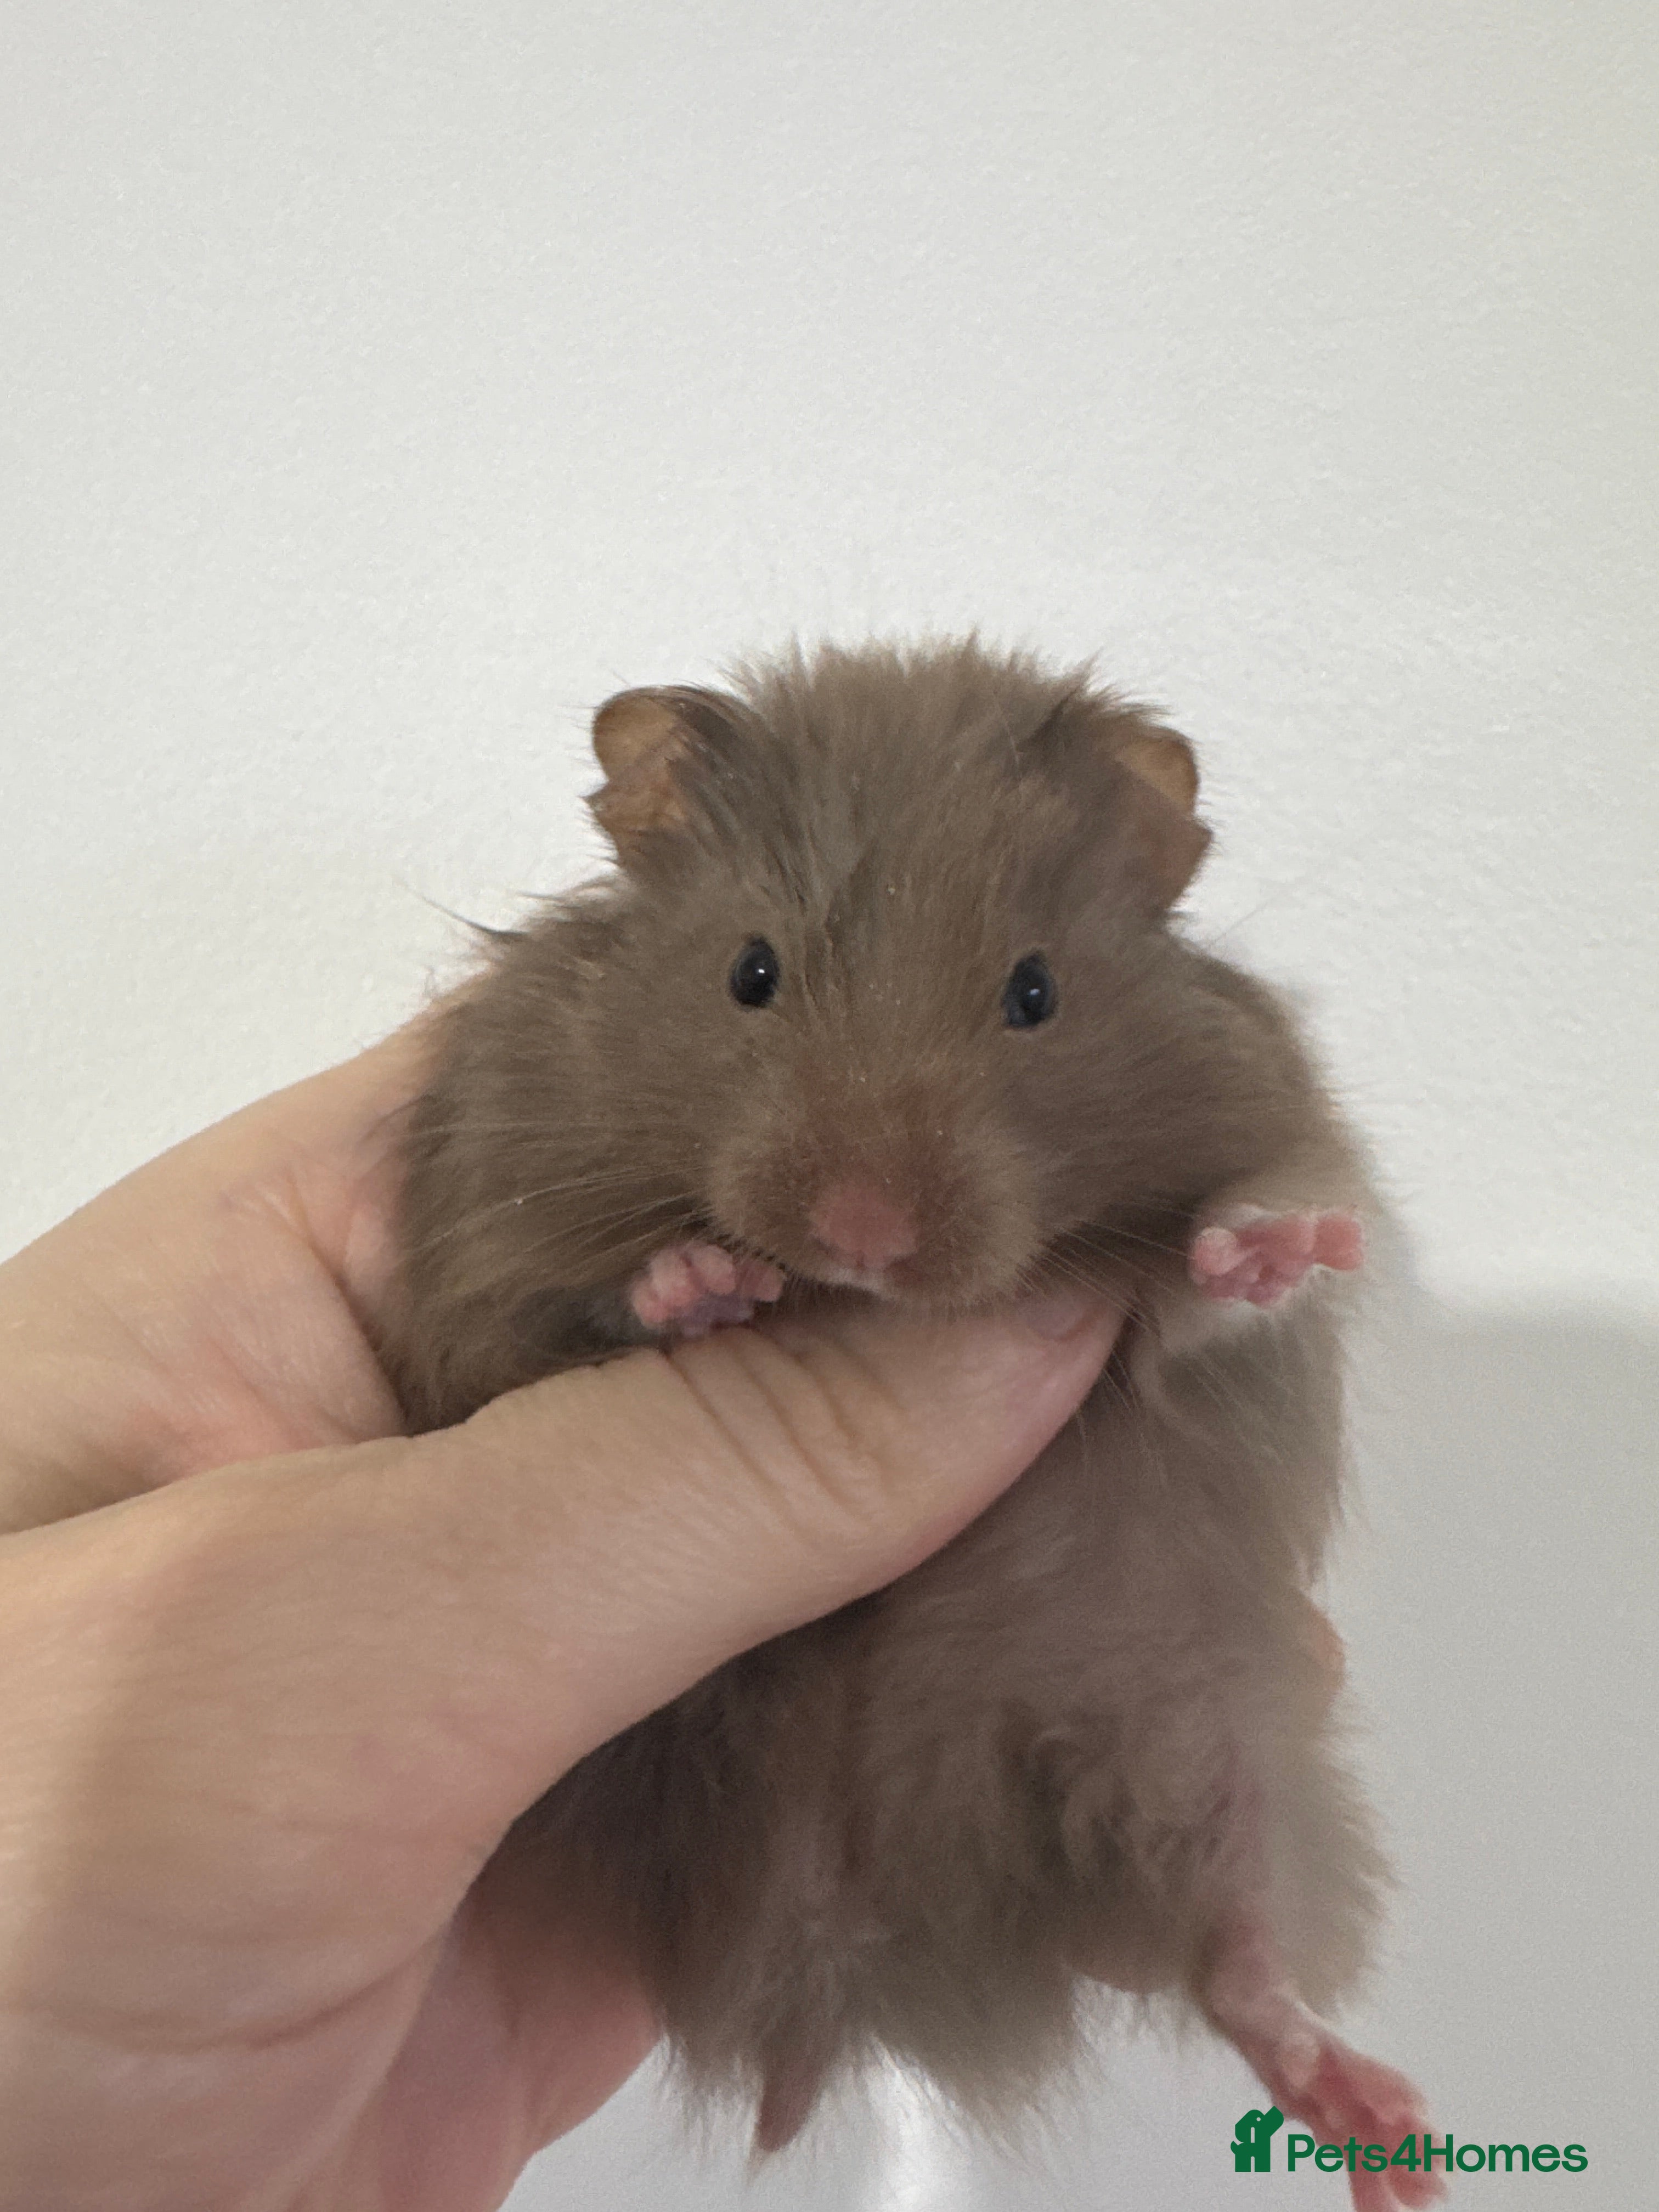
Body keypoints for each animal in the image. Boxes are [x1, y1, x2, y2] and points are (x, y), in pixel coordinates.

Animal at [387, 640, 1438, 2210]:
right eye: (751, 974)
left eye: (1036, 991)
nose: (862, 1234)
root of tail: (862, 1933)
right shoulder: (484, 1244)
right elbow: (568, 1313)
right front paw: (701, 1282)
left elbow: (1203, 1296)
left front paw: (1277, 1242)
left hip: (1210, 1735)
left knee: (1239, 1956)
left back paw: (1387, 2135)